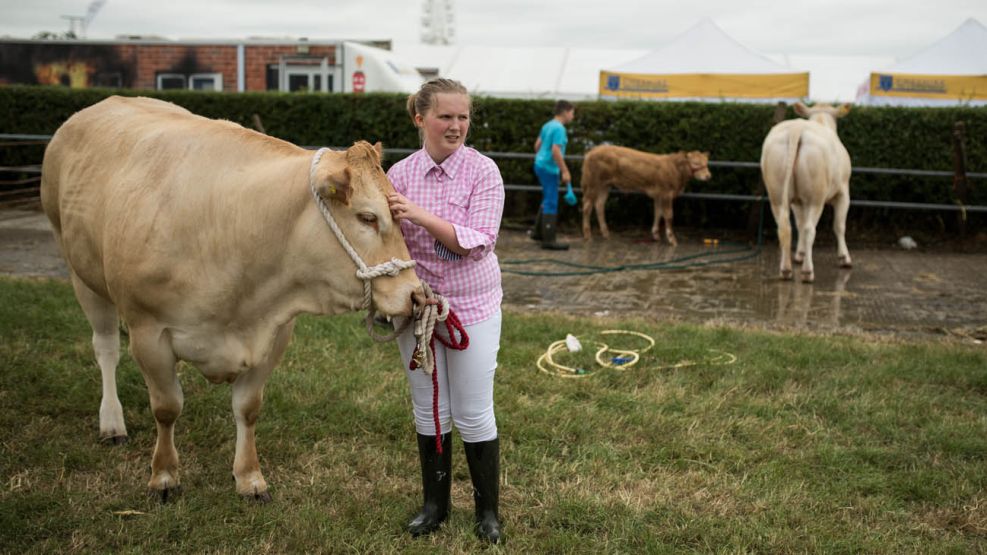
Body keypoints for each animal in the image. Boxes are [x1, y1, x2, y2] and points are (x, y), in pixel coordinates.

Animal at [42, 96, 422, 504]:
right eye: (367, 217)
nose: (415, 294)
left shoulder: (275, 330)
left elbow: (248, 407)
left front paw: (249, 477)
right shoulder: (148, 332)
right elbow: (166, 407)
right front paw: (164, 475)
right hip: (80, 273)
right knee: (106, 348)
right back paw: (112, 423)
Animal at [760, 102, 852, 282]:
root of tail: (796, 127)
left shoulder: (797, 201)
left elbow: (799, 224)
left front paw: (800, 254)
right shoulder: (844, 192)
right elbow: (839, 225)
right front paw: (844, 258)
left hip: (776, 194)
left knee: (785, 226)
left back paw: (786, 269)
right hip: (815, 197)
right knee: (810, 229)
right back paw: (807, 271)